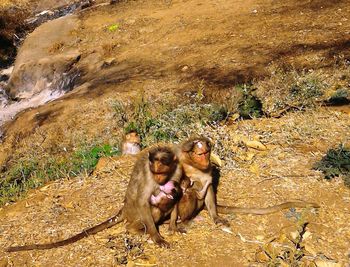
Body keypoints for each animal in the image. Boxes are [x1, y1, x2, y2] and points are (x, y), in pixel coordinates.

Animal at [6, 146, 183, 252]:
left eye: (162, 172)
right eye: (156, 172)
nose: (159, 179)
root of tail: (124, 208)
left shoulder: (177, 170)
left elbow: (178, 193)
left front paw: (173, 225)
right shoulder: (148, 175)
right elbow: (143, 201)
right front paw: (156, 236)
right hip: (134, 214)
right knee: (150, 208)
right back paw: (135, 229)